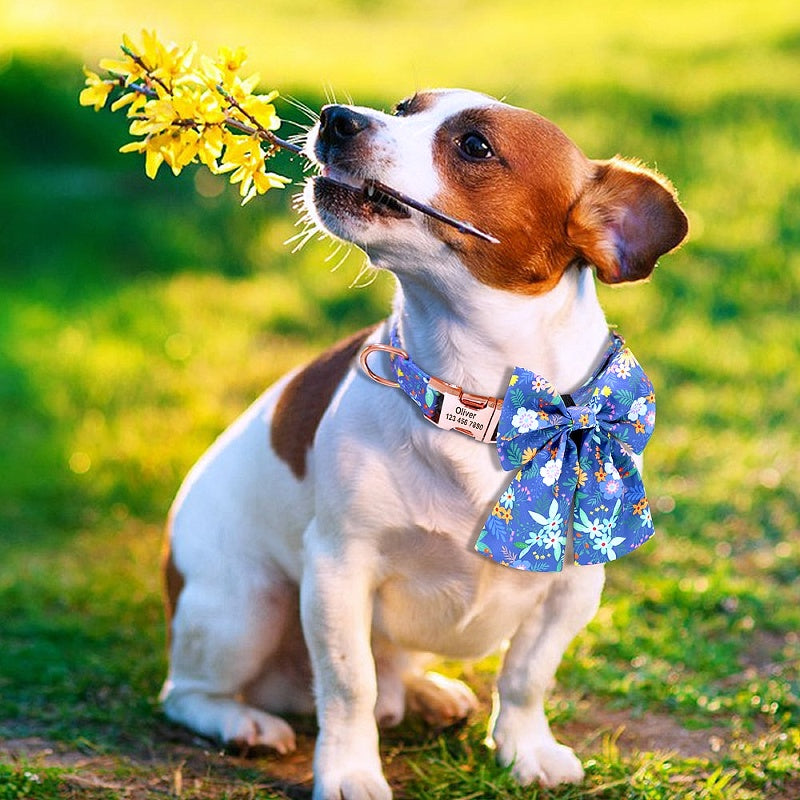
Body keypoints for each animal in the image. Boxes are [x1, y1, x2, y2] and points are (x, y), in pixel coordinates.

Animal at [162, 89, 688, 800]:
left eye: (474, 146)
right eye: (402, 107)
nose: (337, 117)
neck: (484, 403)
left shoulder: (574, 588)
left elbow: (525, 677)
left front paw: (525, 749)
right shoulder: (338, 570)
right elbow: (348, 685)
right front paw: (350, 772)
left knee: (392, 671)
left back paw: (426, 693)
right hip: (244, 606)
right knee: (188, 692)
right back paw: (243, 722)